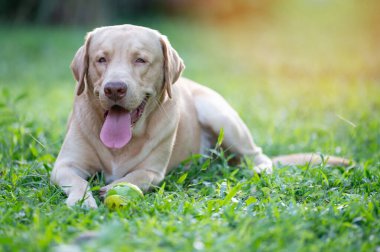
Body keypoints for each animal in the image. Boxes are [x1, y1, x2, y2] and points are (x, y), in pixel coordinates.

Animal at [51, 24, 350, 208]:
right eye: (101, 59)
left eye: (140, 60)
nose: (114, 88)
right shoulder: (64, 165)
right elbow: (79, 182)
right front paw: (81, 201)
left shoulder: (152, 172)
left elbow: (136, 177)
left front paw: (114, 187)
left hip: (219, 114)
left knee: (260, 156)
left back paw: (257, 170)